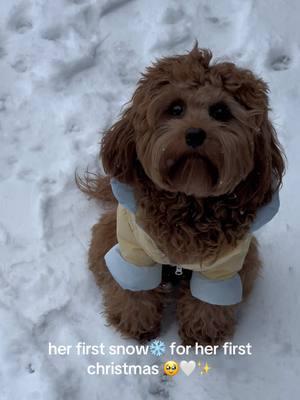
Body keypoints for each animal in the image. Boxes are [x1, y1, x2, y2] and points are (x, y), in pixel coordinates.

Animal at [78, 45, 284, 346]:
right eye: (175, 108)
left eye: (220, 111)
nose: (195, 134)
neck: (190, 198)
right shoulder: (135, 249)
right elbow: (135, 289)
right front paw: (136, 324)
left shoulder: (224, 266)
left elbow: (208, 301)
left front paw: (203, 333)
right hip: (109, 233)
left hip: (248, 261)